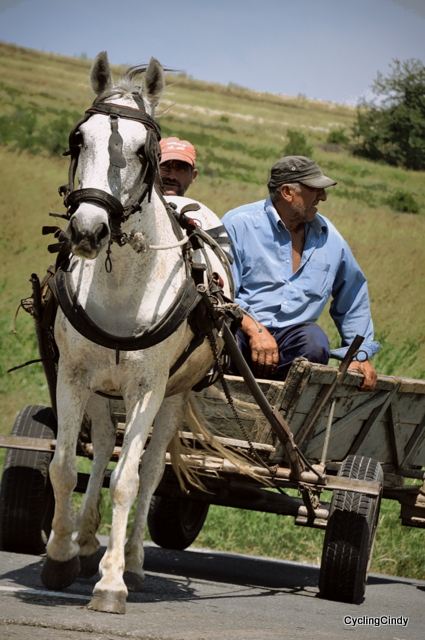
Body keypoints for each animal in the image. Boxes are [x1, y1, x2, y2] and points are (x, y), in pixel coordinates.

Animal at [41, 51, 233, 614]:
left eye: (144, 149)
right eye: (78, 139)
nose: (87, 231)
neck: (123, 280)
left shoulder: (148, 387)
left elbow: (127, 480)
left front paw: (112, 584)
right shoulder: (73, 374)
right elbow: (64, 466)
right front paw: (60, 556)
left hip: (174, 394)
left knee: (148, 471)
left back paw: (133, 561)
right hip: (103, 389)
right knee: (104, 444)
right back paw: (86, 544)